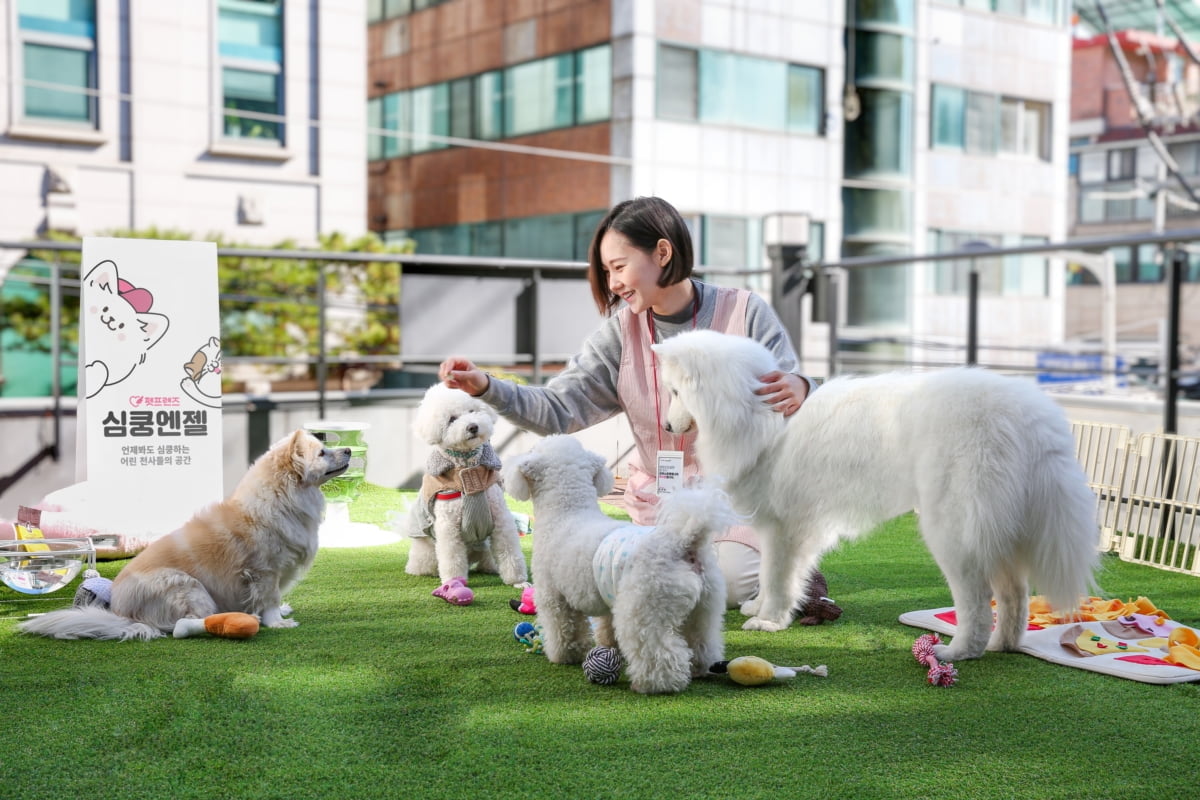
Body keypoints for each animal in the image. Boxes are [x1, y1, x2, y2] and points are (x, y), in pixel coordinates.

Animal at [18, 429, 350, 642]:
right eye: (322, 453)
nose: (348, 449)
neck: (284, 497)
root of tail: (123, 614)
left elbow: (272, 599)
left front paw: (280, 611)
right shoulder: (264, 572)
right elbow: (268, 600)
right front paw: (277, 622)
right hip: (189, 587)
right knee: (183, 624)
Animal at [405, 383, 528, 597]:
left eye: (472, 411)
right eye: (452, 419)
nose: (472, 426)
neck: (468, 468)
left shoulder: (501, 519)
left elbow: (509, 550)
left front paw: (518, 581)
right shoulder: (448, 526)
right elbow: (452, 558)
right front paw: (453, 582)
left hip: (485, 547)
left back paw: (490, 567)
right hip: (426, 552)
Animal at [501, 434, 734, 690]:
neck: (567, 512)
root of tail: (683, 542)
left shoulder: (554, 598)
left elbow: (565, 630)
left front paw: (564, 655)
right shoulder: (607, 597)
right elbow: (605, 626)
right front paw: (607, 645)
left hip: (645, 607)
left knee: (659, 650)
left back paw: (655, 684)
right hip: (705, 607)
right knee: (702, 640)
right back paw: (700, 668)